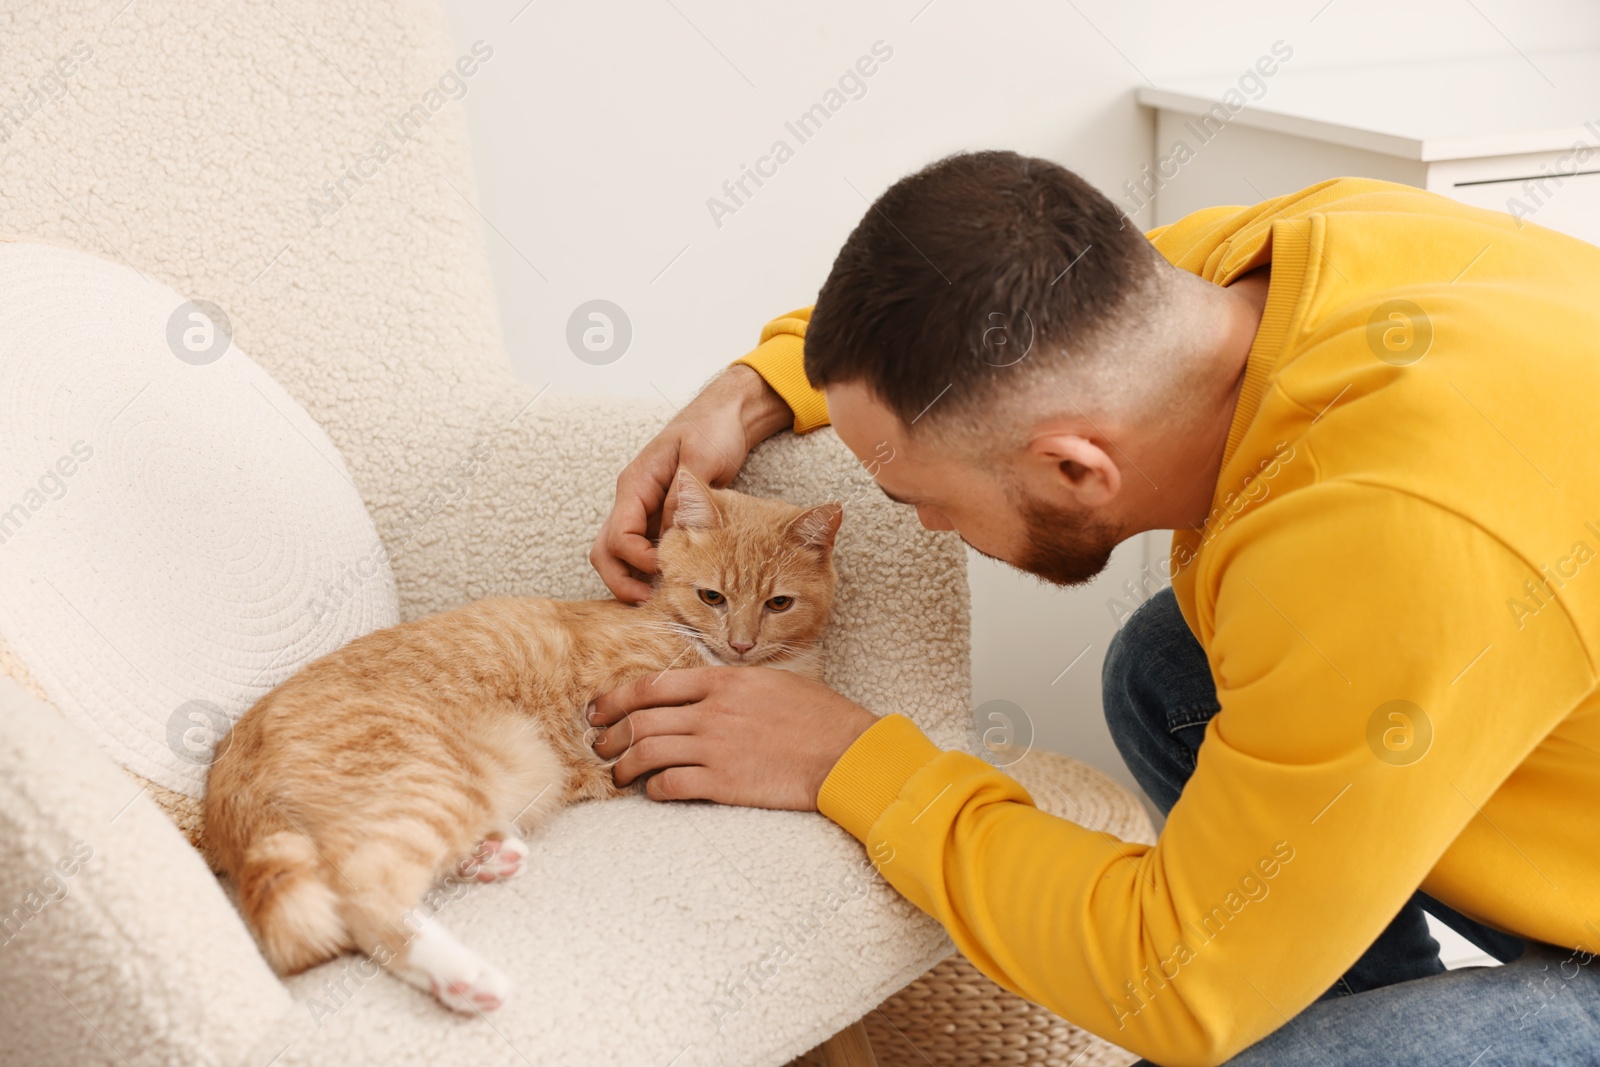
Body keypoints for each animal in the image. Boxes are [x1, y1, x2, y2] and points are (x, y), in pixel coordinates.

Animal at [206, 470, 844, 1017]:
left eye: (778, 603)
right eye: (712, 597)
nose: (740, 644)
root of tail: (228, 761)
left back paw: (487, 857)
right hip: (428, 782)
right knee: (364, 893)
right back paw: (464, 978)